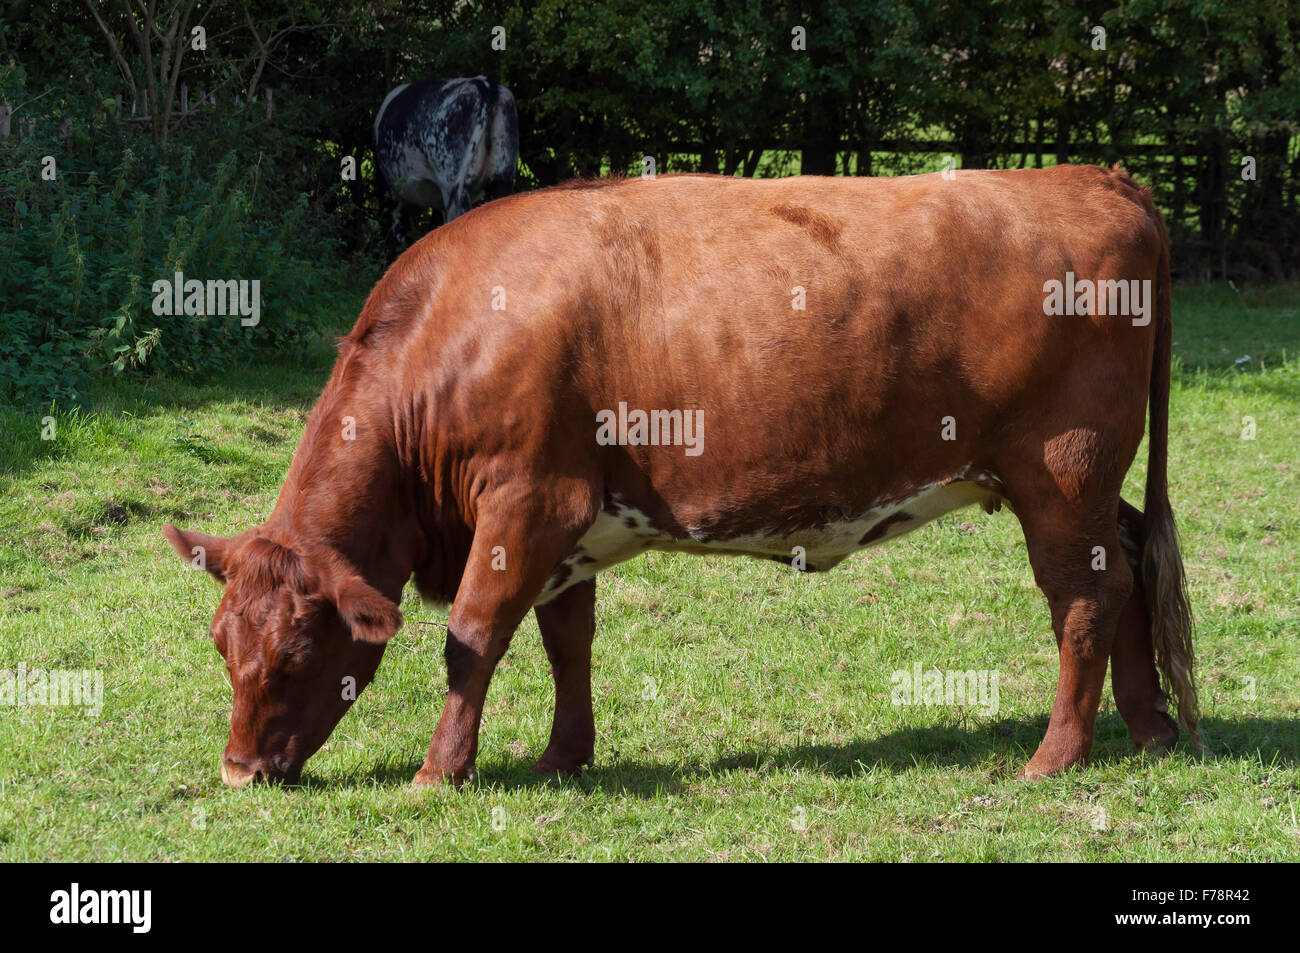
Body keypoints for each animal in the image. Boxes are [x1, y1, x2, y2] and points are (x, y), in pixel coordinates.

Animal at [167, 163, 1201, 790]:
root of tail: (1090, 176)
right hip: (1089, 483)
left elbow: (472, 637)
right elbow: (566, 641)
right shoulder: (568, 524)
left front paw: (438, 773)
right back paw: (1150, 727)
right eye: (221, 643)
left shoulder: (528, 499)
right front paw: (563, 757)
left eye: (299, 650)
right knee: (1131, 565)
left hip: (1059, 472)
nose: (238, 771)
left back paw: (1055, 755)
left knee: (1085, 598)